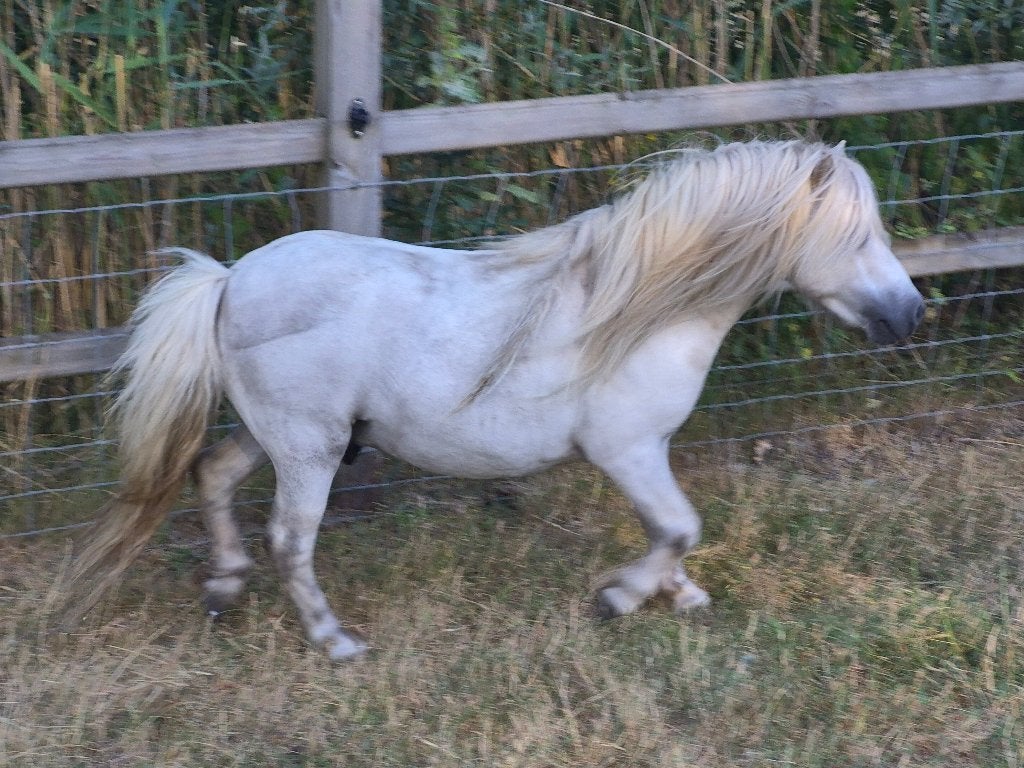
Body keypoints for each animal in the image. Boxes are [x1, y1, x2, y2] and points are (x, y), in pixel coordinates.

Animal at [68, 140, 925, 660]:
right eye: (857, 237)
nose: (910, 315)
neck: (639, 311)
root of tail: (230, 279)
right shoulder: (628, 449)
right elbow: (679, 526)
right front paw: (620, 598)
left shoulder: (639, 455)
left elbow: (674, 532)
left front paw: (679, 596)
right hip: (310, 447)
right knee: (288, 538)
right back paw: (336, 641)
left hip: (273, 433)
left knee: (211, 476)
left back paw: (223, 589)